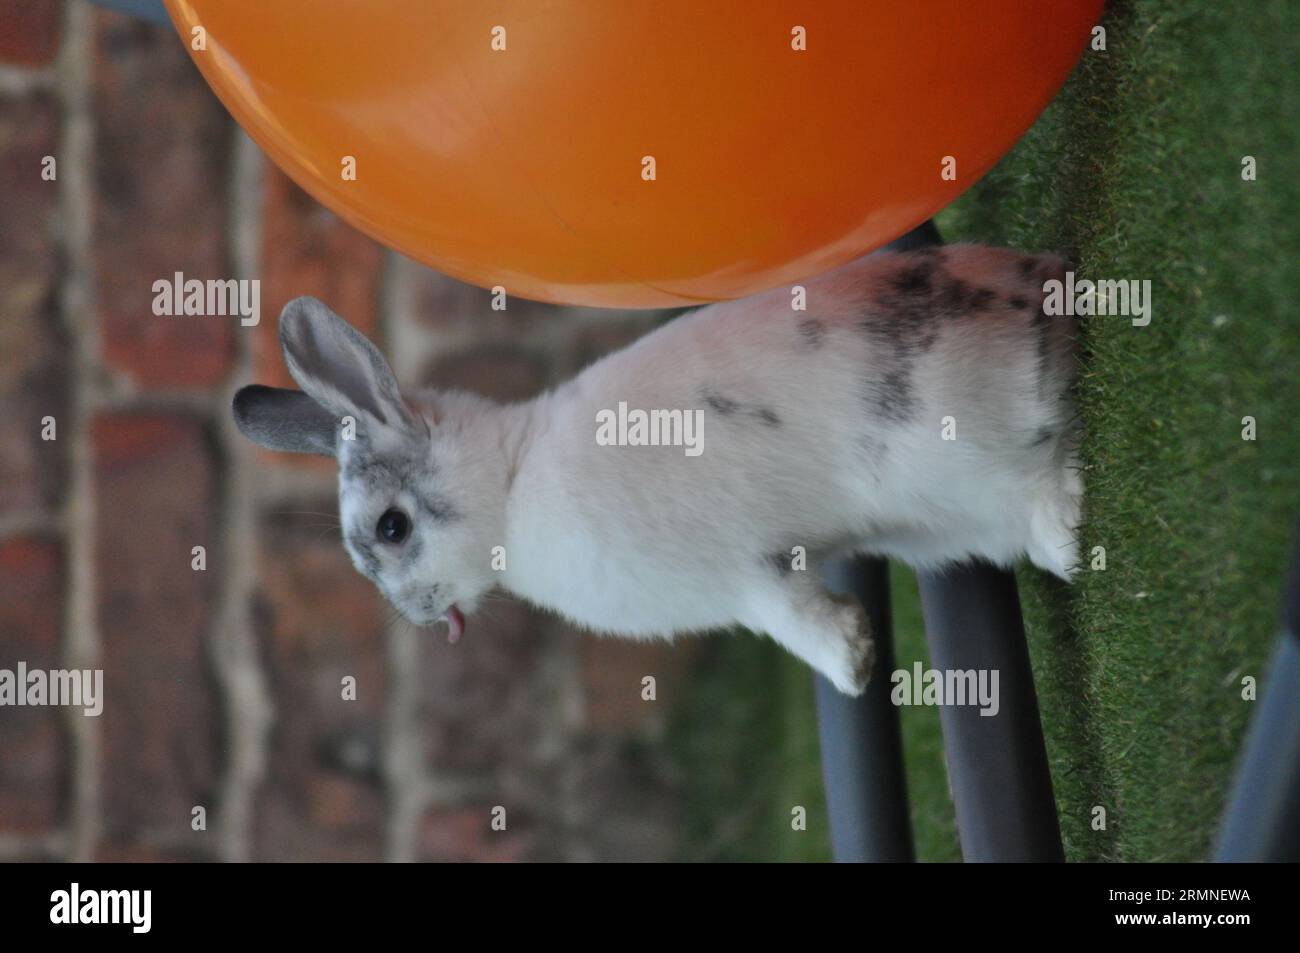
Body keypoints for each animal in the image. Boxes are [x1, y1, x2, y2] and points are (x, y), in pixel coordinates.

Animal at [236, 241, 1086, 696]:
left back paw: (1072, 531)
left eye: (392, 527)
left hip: (950, 458)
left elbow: (797, 619)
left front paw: (852, 666)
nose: (421, 616)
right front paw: (858, 661)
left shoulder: (740, 576)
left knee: (1035, 479)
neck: (510, 486)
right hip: (936, 526)